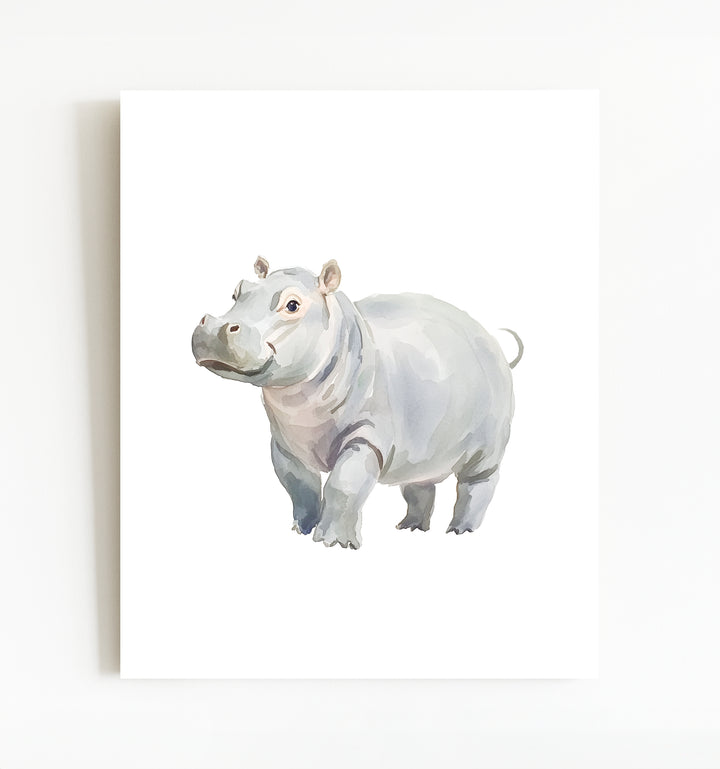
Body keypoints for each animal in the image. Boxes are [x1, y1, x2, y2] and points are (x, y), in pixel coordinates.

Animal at [191, 257, 523, 549]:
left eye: (293, 305)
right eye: (236, 291)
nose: (216, 327)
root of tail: (494, 344)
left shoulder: (366, 436)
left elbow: (344, 485)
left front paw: (333, 544)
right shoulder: (284, 443)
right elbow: (298, 485)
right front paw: (302, 530)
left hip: (488, 445)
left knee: (477, 483)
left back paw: (460, 532)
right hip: (423, 445)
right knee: (418, 483)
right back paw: (410, 528)